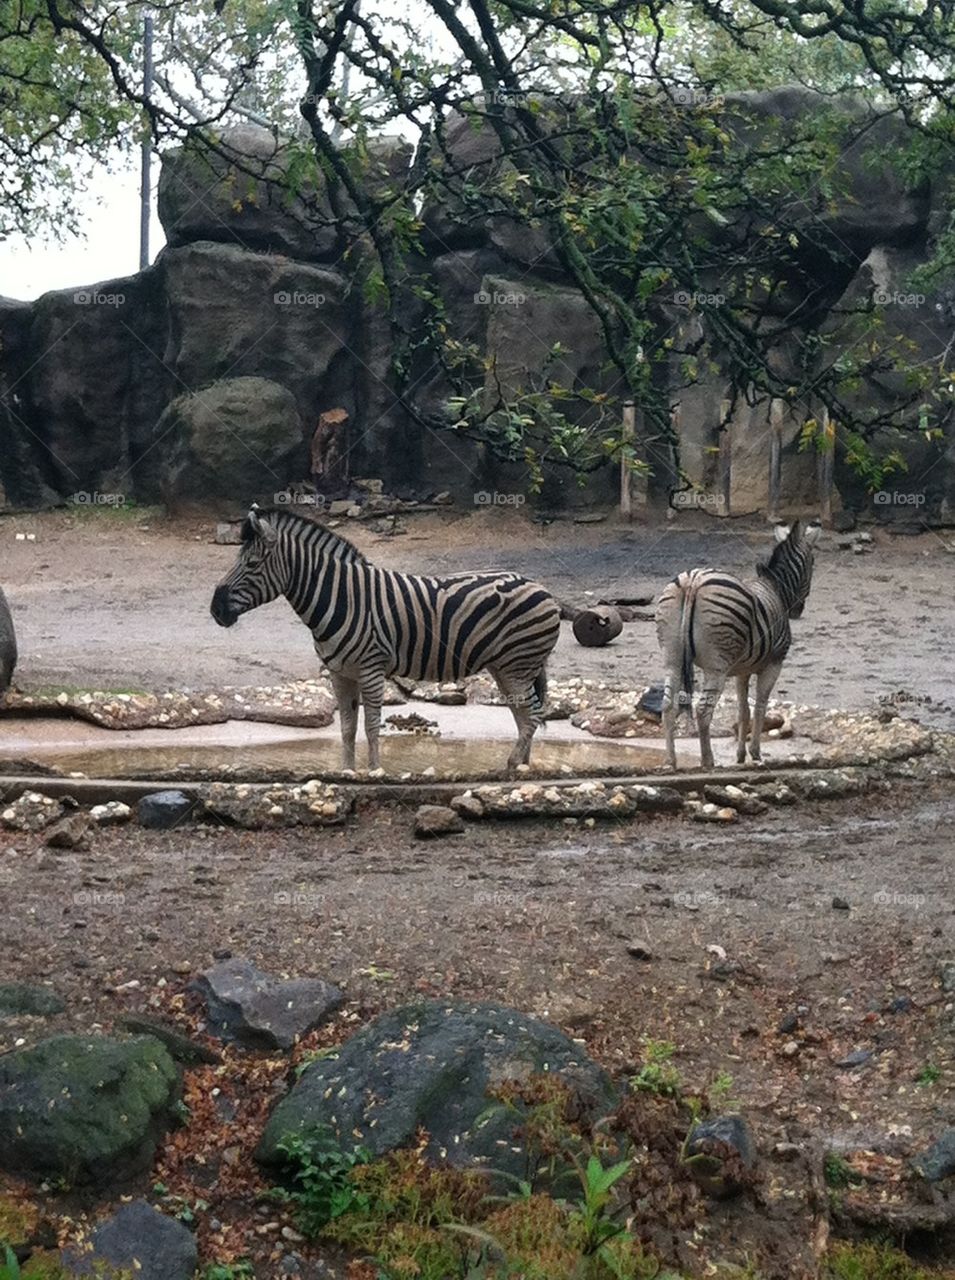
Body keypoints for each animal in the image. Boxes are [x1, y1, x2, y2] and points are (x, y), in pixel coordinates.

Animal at [210, 506, 561, 773]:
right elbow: (347, 728)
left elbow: (371, 726)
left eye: (251, 564)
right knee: (524, 716)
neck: (340, 598)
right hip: (506, 668)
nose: (215, 609)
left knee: (531, 717)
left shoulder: (371, 668)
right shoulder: (340, 673)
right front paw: (347, 772)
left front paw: (374, 771)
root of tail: (541, 587)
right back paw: (524, 767)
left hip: (517, 665)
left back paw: (511, 767)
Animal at [656, 519, 822, 770]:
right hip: (717, 665)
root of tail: (693, 581)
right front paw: (755, 754)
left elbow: (743, 711)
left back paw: (670, 761)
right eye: (812, 563)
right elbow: (760, 706)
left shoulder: (741, 670)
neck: (775, 588)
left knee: (668, 705)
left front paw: (740, 755)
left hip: (672, 658)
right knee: (703, 710)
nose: (797, 611)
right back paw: (708, 761)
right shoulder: (774, 663)